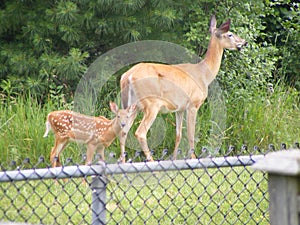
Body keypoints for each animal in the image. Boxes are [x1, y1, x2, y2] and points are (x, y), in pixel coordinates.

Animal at [119, 14, 246, 161]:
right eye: (230, 34)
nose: (244, 42)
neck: (204, 74)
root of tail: (128, 76)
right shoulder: (193, 104)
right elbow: (191, 134)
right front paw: (193, 158)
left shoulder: (179, 108)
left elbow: (178, 134)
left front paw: (174, 159)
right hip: (151, 104)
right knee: (140, 132)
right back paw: (150, 160)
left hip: (131, 106)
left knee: (123, 131)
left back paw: (123, 162)